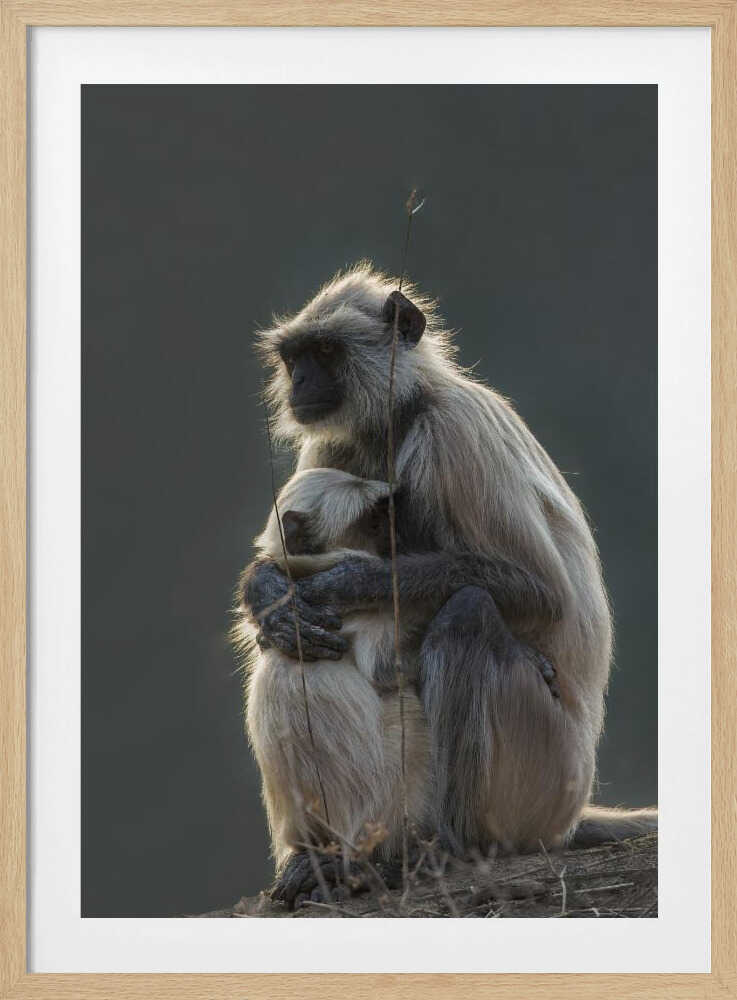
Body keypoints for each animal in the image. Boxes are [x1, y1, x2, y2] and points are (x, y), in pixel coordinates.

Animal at [239, 263, 657, 904]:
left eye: (326, 352)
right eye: (296, 356)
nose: (301, 381)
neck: (404, 411)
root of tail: (571, 810)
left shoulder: (454, 431)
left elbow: (542, 592)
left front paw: (342, 583)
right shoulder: (333, 442)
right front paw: (270, 596)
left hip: (542, 777)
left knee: (470, 611)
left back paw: (446, 849)